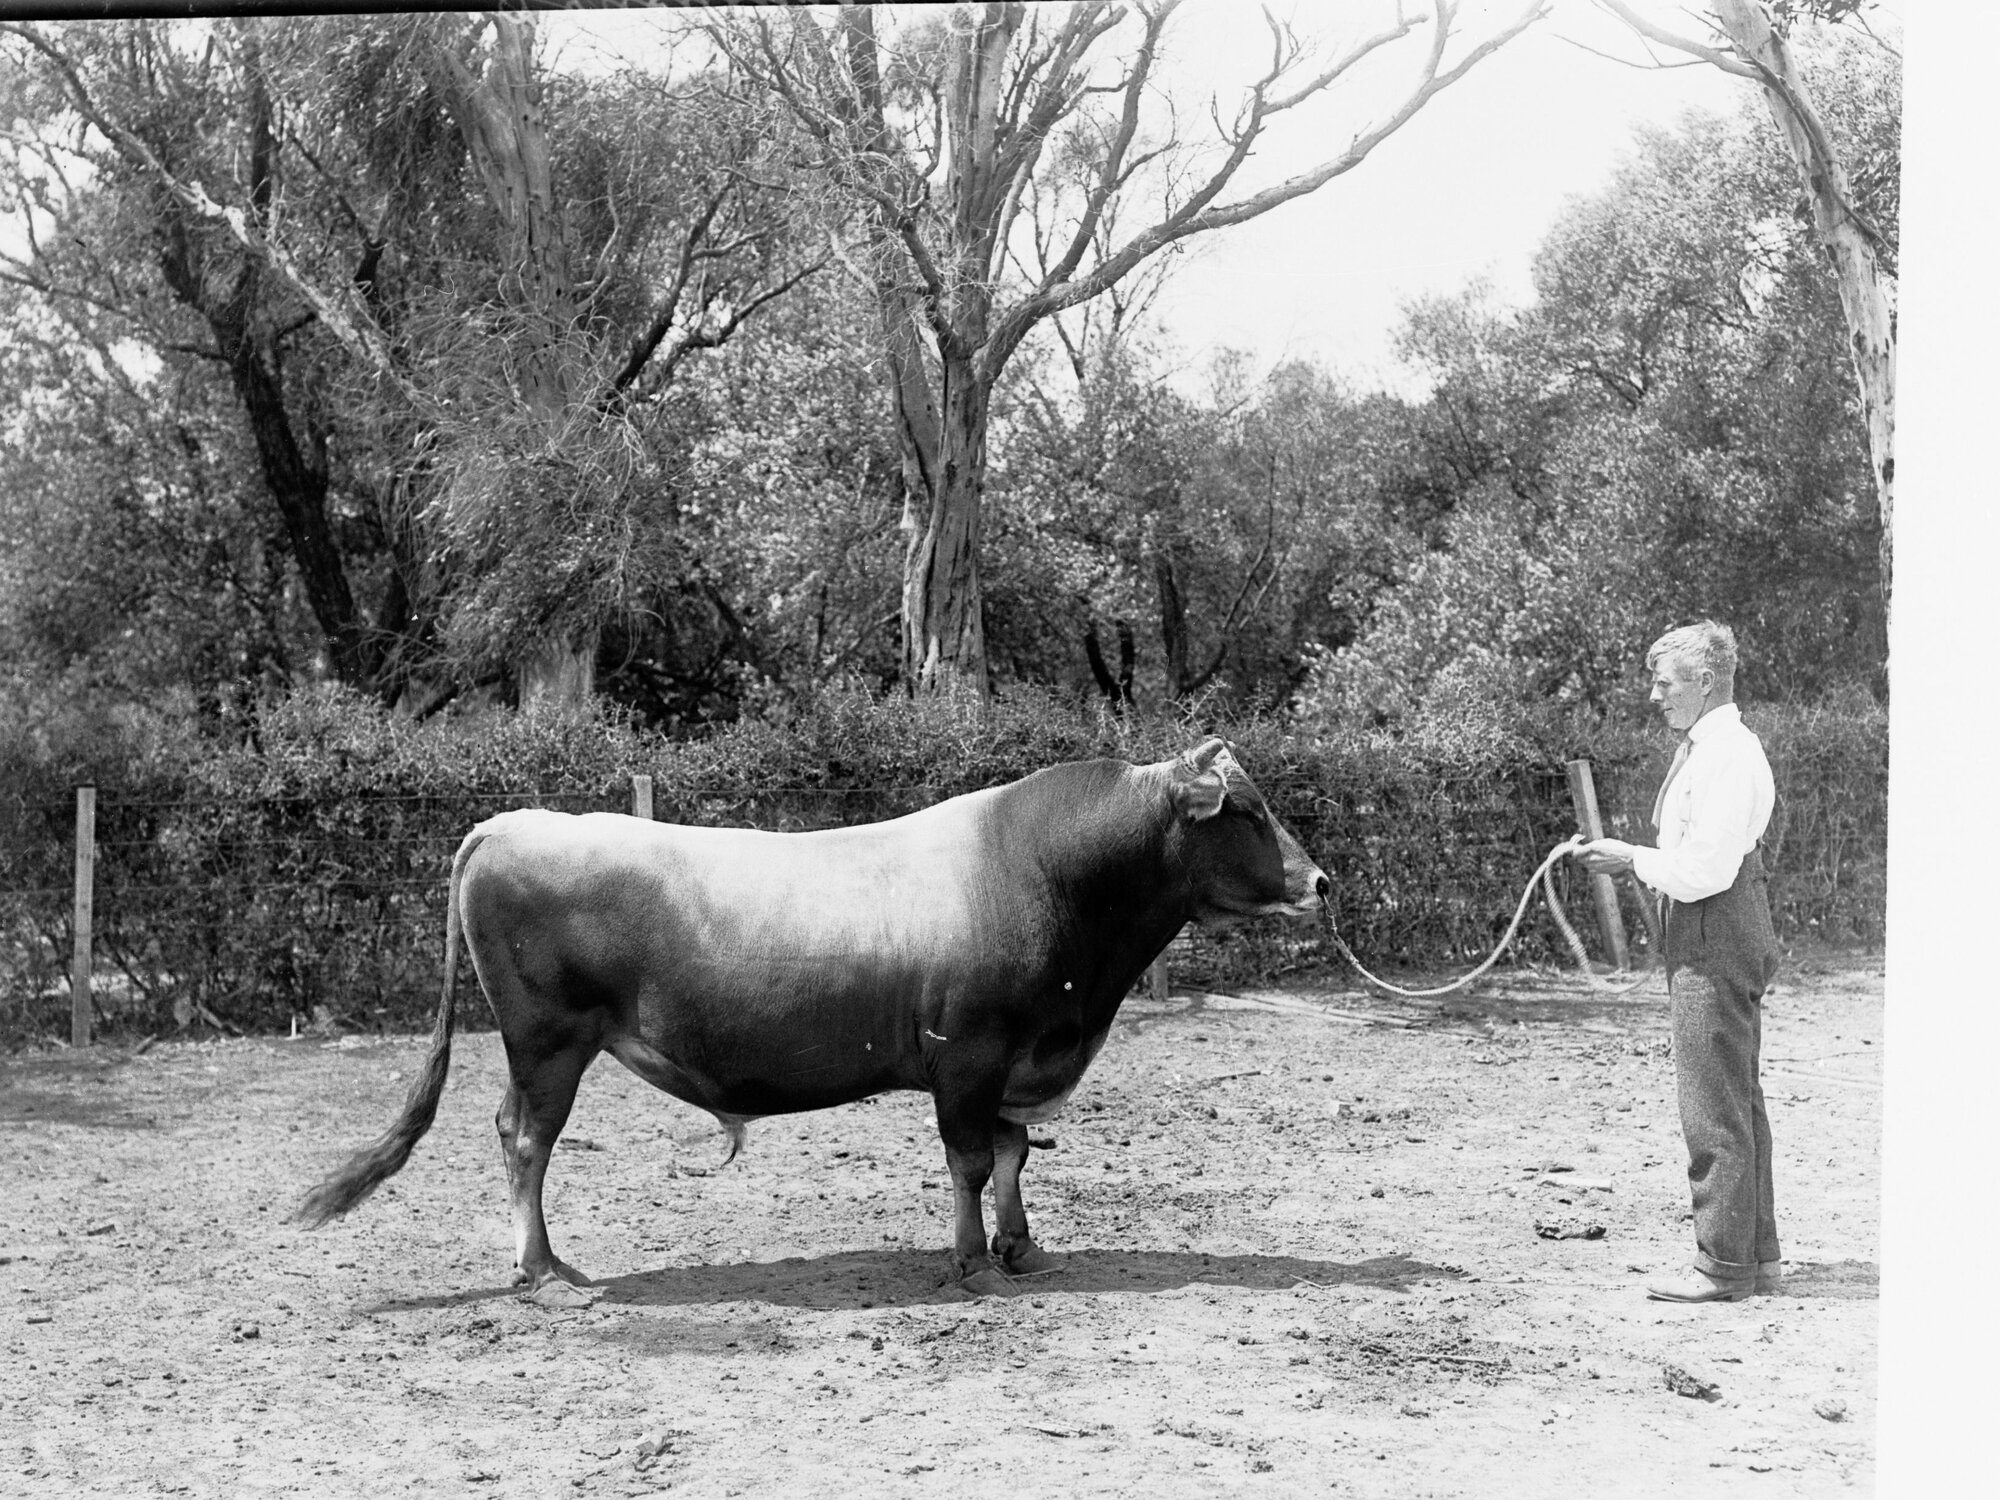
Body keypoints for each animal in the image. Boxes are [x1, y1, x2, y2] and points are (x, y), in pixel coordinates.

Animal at [296, 737, 1328, 1301]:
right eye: (1248, 809)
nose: (1321, 881)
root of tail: (510, 823)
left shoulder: (1011, 1062)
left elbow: (1011, 1152)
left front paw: (1022, 1246)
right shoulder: (971, 1055)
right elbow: (968, 1158)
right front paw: (972, 1261)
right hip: (547, 1043)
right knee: (524, 1139)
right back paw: (545, 1270)